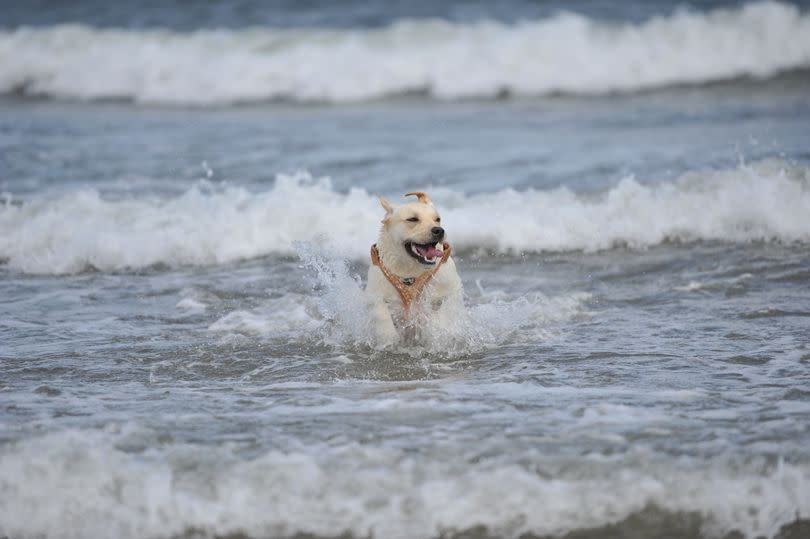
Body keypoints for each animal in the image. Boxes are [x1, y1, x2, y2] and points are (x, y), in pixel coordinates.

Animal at [364, 192, 460, 348]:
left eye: (437, 219)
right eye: (412, 219)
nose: (439, 230)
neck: (411, 270)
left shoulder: (451, 288)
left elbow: (445, 309)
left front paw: (436, 331)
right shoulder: (375, 291)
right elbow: (381, 312)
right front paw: (388, 337)